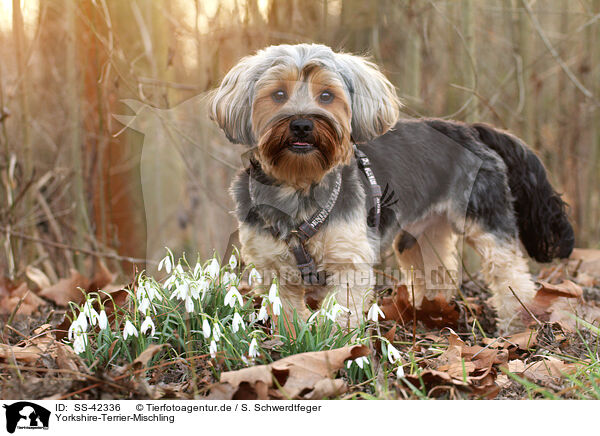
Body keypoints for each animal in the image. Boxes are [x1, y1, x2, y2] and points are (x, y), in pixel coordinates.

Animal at [209, 42, 576, 332]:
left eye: (326, 95)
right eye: (279, 95)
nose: (301, 124)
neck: (299, 185)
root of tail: (470, 129)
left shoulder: (350, 259)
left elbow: (341, 311)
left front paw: (333, 346)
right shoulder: (273, 266)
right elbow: (286, 311)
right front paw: (294, 342)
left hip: (486, 216)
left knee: (509, 272)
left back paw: (517, 323)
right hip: (423, 232)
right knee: (438, 269)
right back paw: (431, 312)